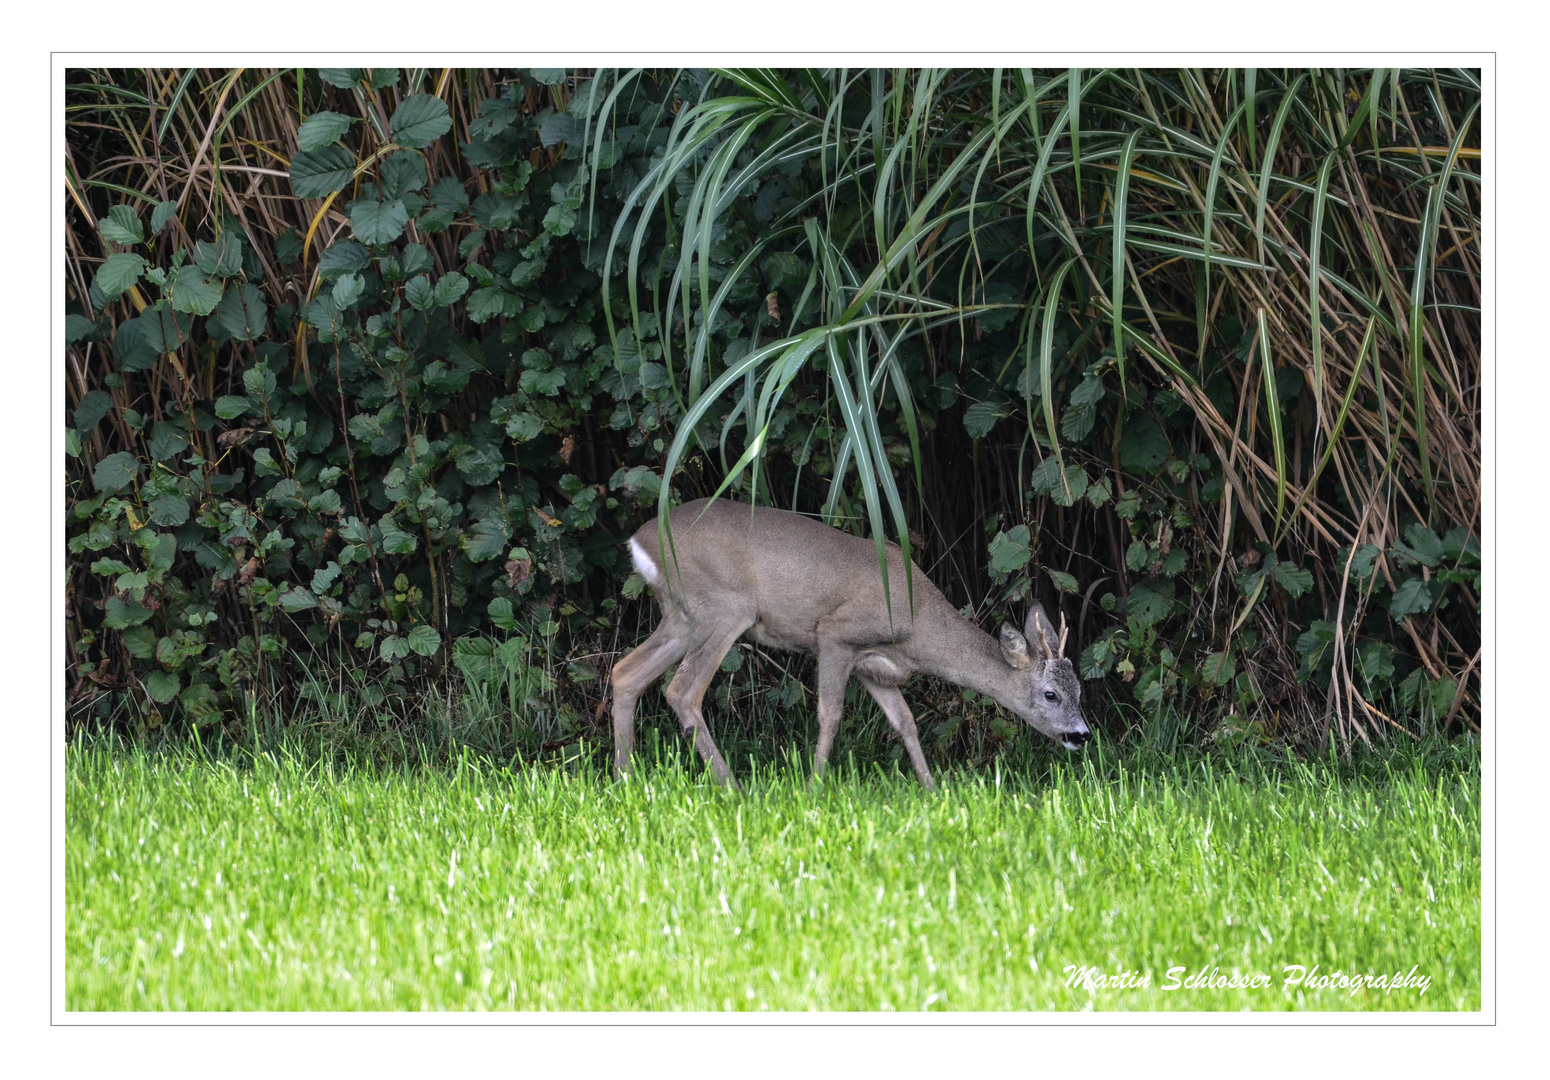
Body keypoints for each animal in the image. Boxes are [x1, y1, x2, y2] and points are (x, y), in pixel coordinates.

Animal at [607, 495, 1091, 784]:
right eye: (1050, 694)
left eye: (1080, 690)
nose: (1082, 735)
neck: (917, 625)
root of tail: (638, 541)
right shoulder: (835, 635)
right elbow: (830, 714)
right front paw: (815, 786)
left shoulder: (874, 668)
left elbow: (906, 723)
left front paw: (932, 787)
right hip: (725, 607)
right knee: (681, 690)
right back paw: (731, 785)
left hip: (681, 617)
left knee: (625, 672)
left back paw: (627, 777)